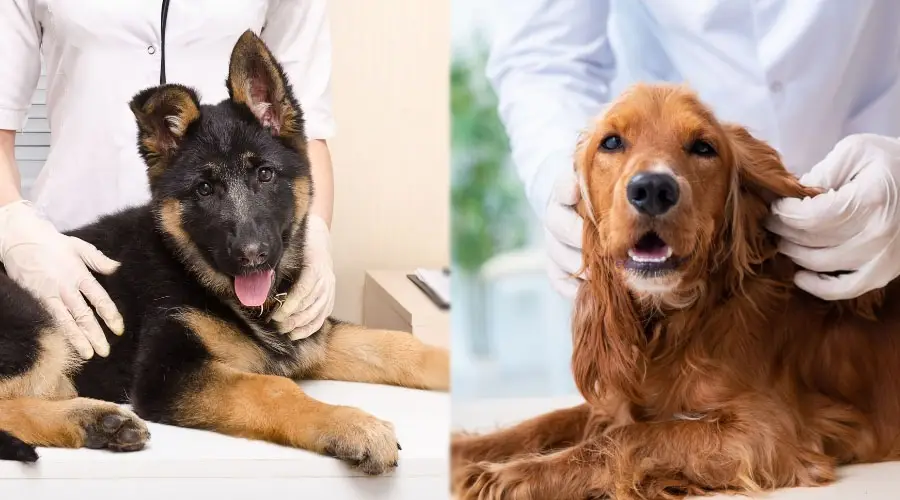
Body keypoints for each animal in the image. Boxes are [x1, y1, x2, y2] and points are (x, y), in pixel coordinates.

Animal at [0, 29, 448, 474]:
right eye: (204, 189)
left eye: (265, 174)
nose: (252, 255)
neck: (194, 270)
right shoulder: (167, 374)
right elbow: (275, 389)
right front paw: (351, 423)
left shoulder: (309, 336)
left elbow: (395, 343)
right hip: (40, 324)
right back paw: (93, 418)